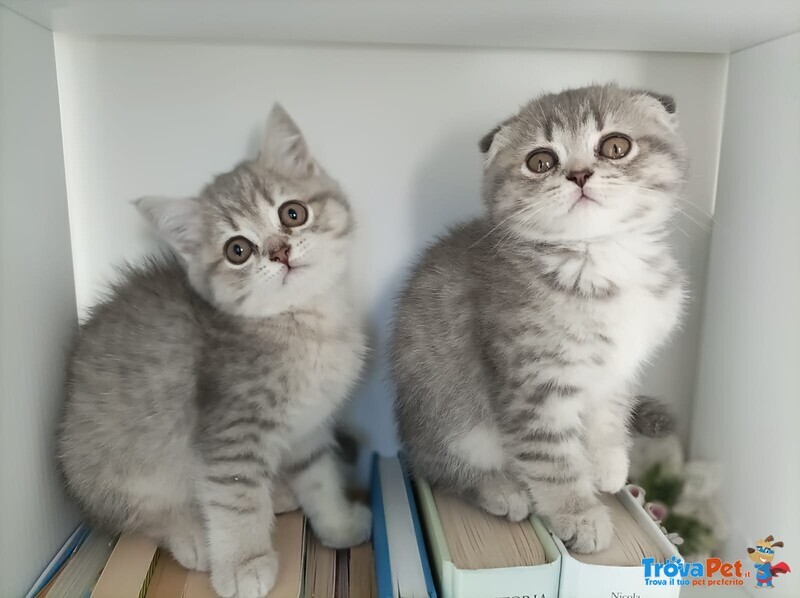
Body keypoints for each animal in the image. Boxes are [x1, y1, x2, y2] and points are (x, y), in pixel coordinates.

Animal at [59, 105, 372, 596]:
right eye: (237, 250)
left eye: (293, 213)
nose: (280, 252)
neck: (305, 323)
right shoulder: (229, 433)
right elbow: (235, 499)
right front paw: (244, 563)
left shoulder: (309, 425)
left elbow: (320, 478)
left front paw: (338, 525)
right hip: (113, 467)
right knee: (137, 514)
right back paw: (191, 534)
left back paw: (278, 494)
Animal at [392, 84, 688, 552]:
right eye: (541, 161)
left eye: (615, 146)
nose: (580, 174)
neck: (600, 264)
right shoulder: (532, 384)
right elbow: (552, 458)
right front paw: (578, 514)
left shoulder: (620, 366)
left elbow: (610, 413)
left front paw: (608, 462)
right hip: (449, 420)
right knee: (437, 467)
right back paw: (500, 489)